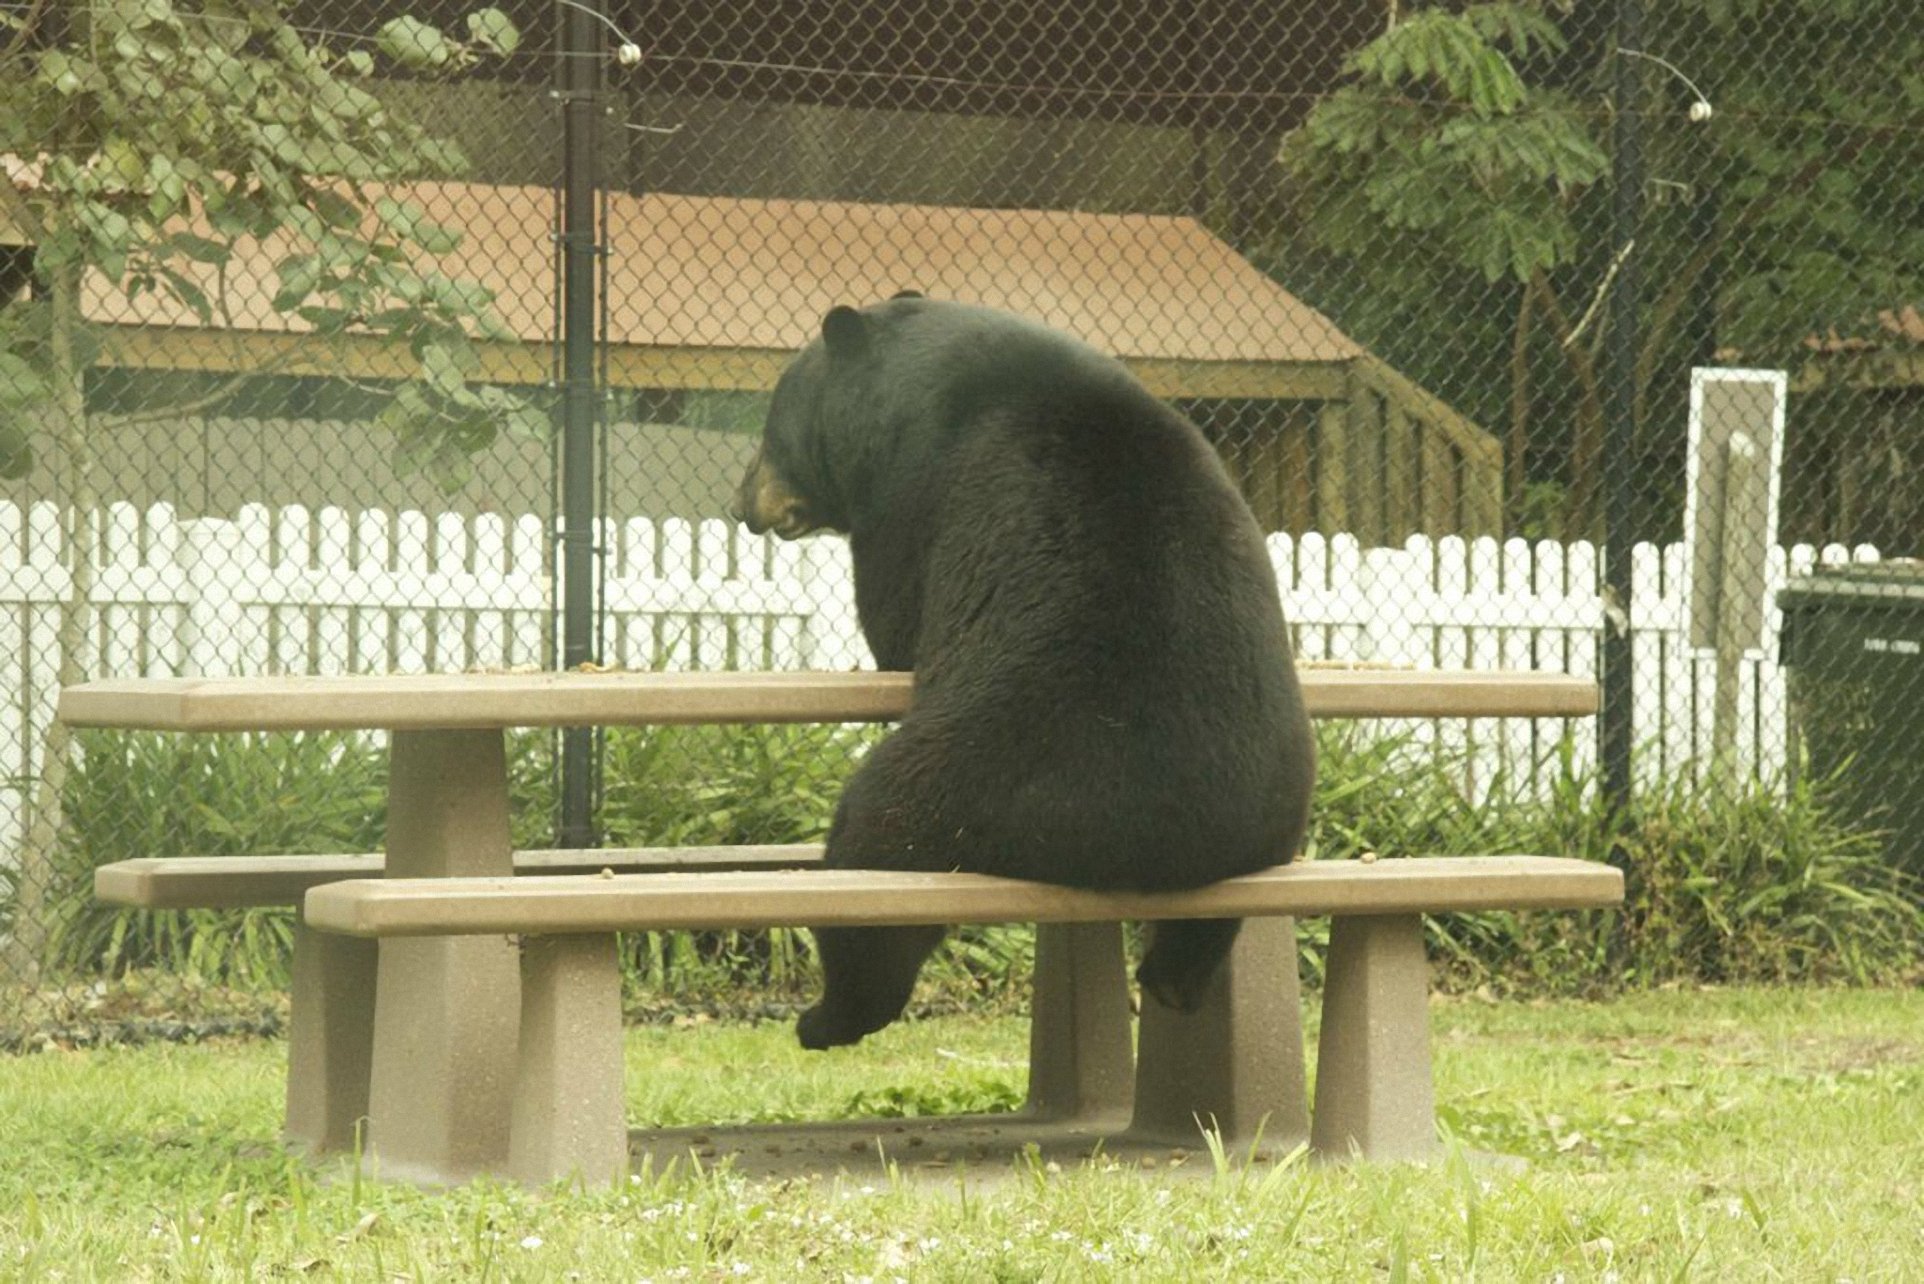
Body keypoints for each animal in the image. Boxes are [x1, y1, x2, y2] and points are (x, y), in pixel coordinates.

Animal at [731, 295, 1315, 1050]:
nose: (742, 502)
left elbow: (896, 615)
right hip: (1261, 826)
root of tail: (1141, 842)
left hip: (977, 770)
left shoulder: (915, 489)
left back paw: (827, 1017)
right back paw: (1171, 983)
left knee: (875, 858)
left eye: (774, 431)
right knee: (1200, 932)